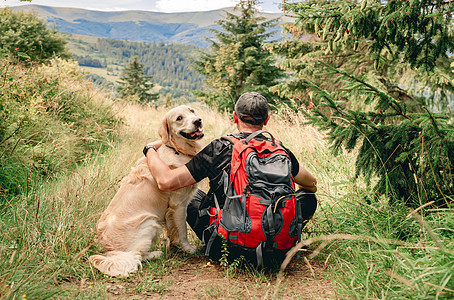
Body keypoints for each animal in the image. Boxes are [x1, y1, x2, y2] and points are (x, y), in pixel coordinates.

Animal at [88, 105, 204, 276]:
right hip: (150, 222)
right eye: (179, 118)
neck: (176, 149)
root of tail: (111, 250)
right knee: (137, 255)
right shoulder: (178, 205)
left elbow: (173, 231)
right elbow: (182, 231)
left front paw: (174, 246)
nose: (198, 121)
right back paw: (156, 253)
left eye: (192, 111)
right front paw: (189, 249)